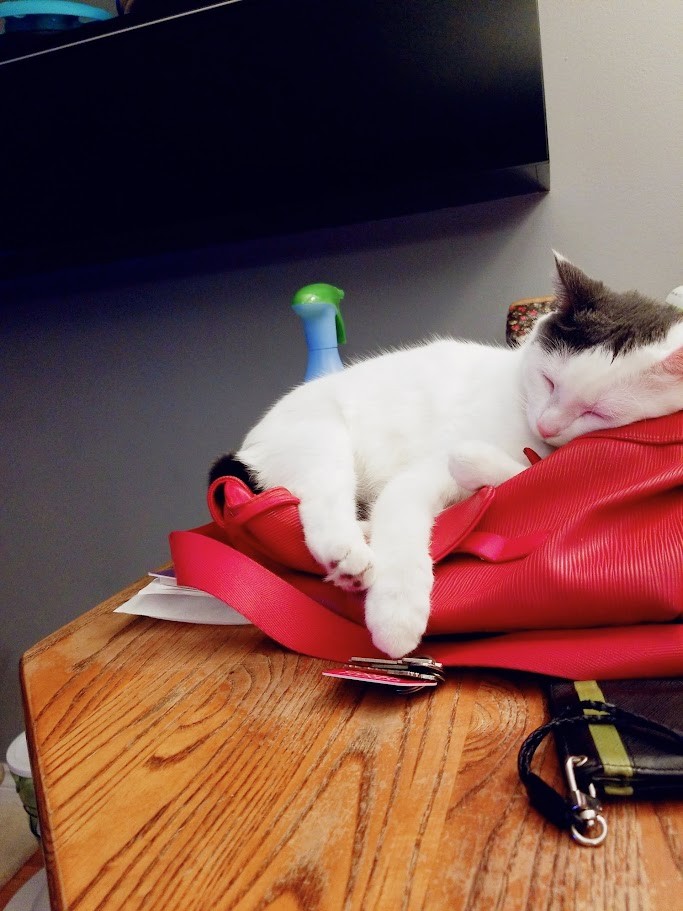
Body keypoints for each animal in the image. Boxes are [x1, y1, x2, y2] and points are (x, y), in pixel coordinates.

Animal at [211, 253, 683, 658]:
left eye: (597, 412)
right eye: (549, 381)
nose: (547, 425)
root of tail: (251, 444)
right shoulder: (424, 470)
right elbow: (406, 516)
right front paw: (396, 614)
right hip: (321, 438)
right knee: (319, 501)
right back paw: (347, 553)